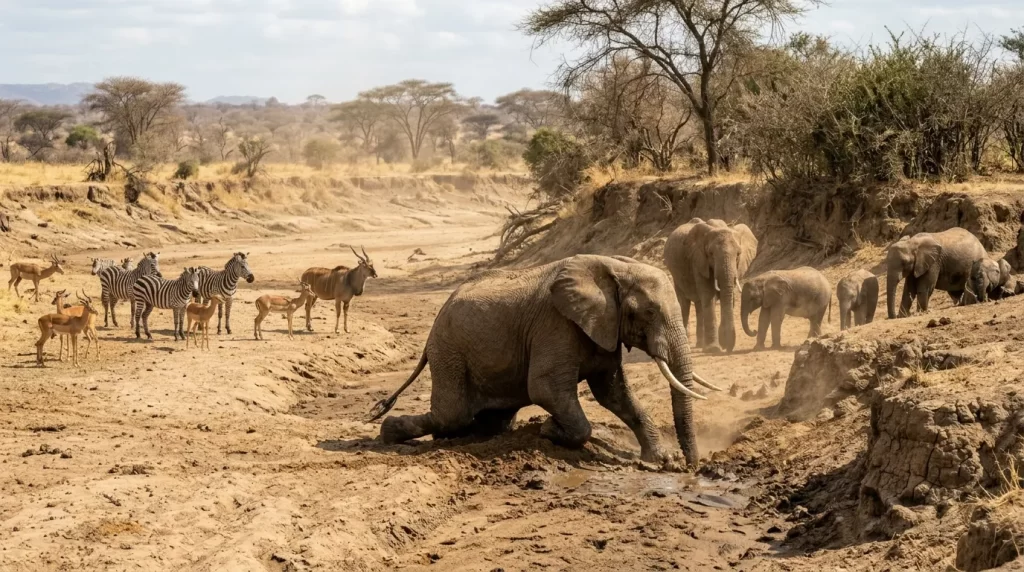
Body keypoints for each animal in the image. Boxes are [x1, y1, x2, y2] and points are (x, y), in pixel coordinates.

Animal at [368, 254, 723, 467]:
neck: (614, 266)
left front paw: (659, 461)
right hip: (449, 351)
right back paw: (389, 433)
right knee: (451, 415)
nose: (692, 468)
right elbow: (545, 389)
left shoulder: (602, 327)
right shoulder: (556, 325)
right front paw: (550, 430)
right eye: (649, 312)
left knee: (486, 420)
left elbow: (614, 394)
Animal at [664, 218, 758, 353]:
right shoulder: (698, 260)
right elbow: (708, 295)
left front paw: (720, 345)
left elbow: (727, 297)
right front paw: (713, 349)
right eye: (711, 254)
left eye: (738, 254)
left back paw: (700, 345)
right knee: (684, 302)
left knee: (699, 305)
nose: (727, 348)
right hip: (675, 273)